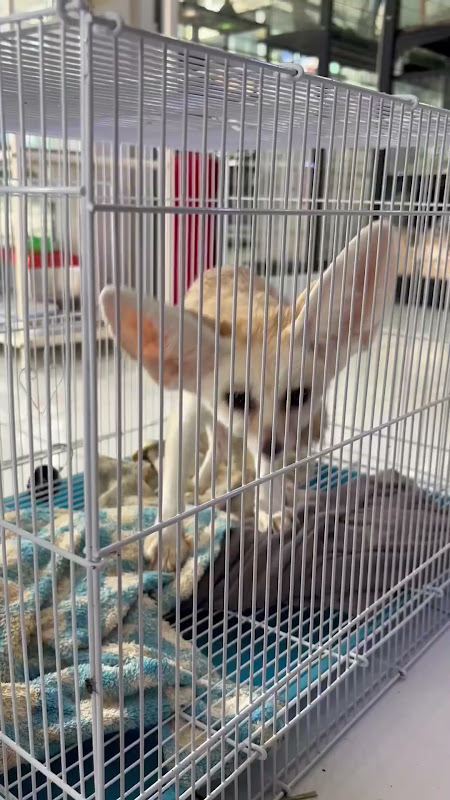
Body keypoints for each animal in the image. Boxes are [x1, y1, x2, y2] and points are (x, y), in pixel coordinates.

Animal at [100, 221, 398, 571]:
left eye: (299, 395)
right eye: (238, 400)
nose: (275, 447)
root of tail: (226, 266)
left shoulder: (273, 439)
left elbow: (266, 470)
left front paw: (270, 506)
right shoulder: (188, 411)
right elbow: (173, 479)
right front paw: (168, 537)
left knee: (226, 446)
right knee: (217, 444)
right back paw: (202, 482)